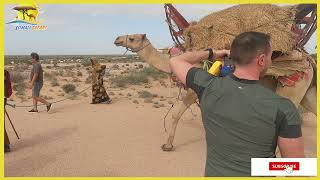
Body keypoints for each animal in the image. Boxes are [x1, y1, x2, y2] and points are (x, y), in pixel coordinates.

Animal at [114, 34, 316, 152]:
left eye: (132, 38)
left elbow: (176, 114)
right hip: (306, 92)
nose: (117, 39)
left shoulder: (193, 89)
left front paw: (168, 145)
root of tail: (308, 61)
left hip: (291, 89)